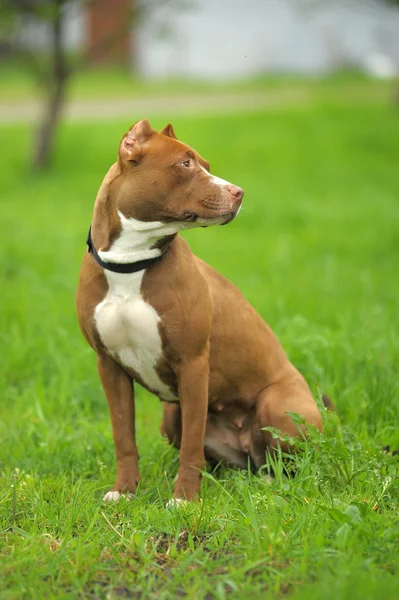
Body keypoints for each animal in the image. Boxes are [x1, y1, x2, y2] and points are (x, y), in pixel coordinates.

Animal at [76, 119, 324, 504]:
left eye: (204, 164)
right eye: (185, 164)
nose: (239, 193)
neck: (132, 263)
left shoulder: (192, 363)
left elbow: (192, 445)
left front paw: (184, 499)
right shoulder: (109, 366)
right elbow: (124, 435)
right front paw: (125, 491)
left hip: (278, 404)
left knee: (290, 462)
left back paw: (272, 484)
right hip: (170, 416)